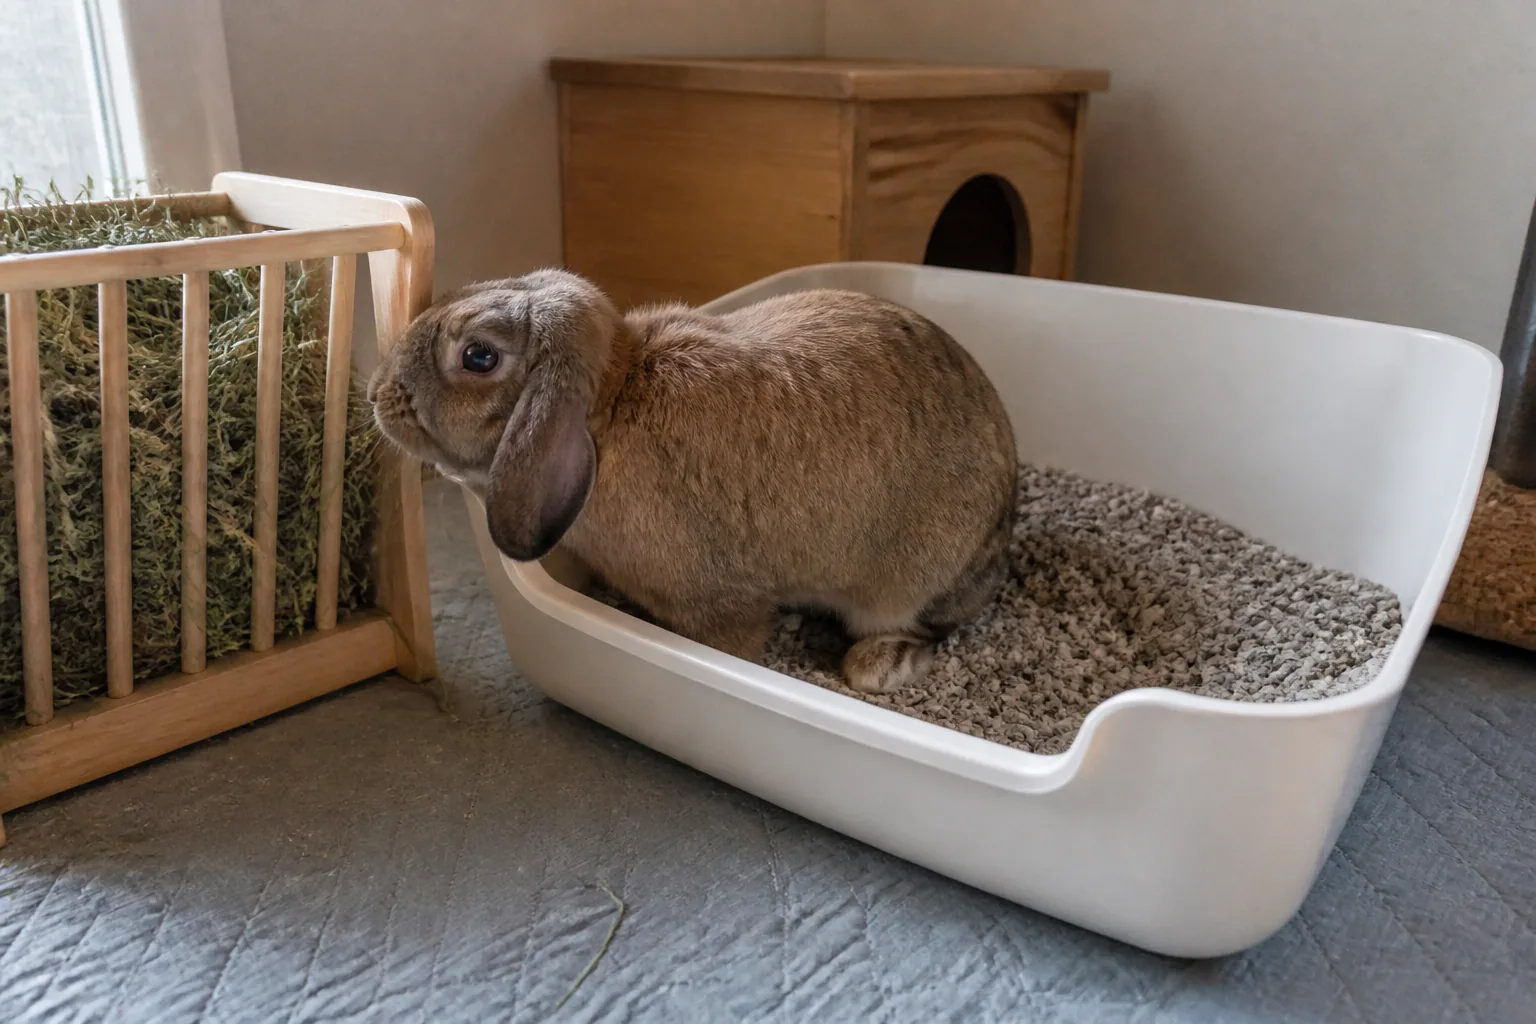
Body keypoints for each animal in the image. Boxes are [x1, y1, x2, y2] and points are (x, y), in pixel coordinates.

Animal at [368, 269, 1018, 693]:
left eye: (478, 357)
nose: (375, 393)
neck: (611, 402)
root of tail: (1001, 540)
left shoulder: (716, 602)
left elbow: (732, 639)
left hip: (903, 588)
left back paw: (880, 663)